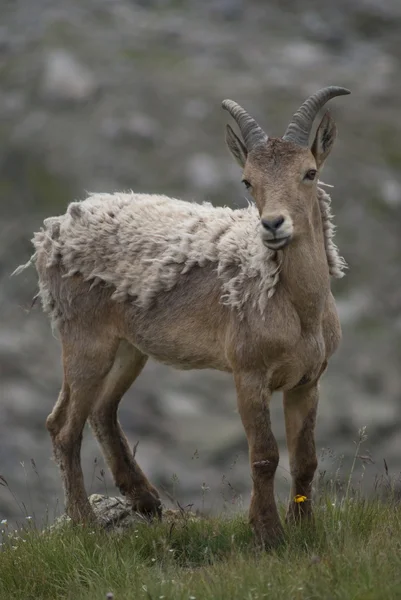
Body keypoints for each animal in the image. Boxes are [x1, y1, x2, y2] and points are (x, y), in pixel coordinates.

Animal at [19, 85, 350, 548]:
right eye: (248, 180)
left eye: (310, 172)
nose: (272, 225)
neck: (298, 309)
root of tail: (52, 234)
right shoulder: (248, 374)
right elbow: (264, 455)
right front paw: (267, 534)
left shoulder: (307, 381)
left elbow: (306, 459)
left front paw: (304, 530)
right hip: (85, 340)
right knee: (64, 426)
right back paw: (85, 522)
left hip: (129, 348)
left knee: (102, 410)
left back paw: (145, 500)